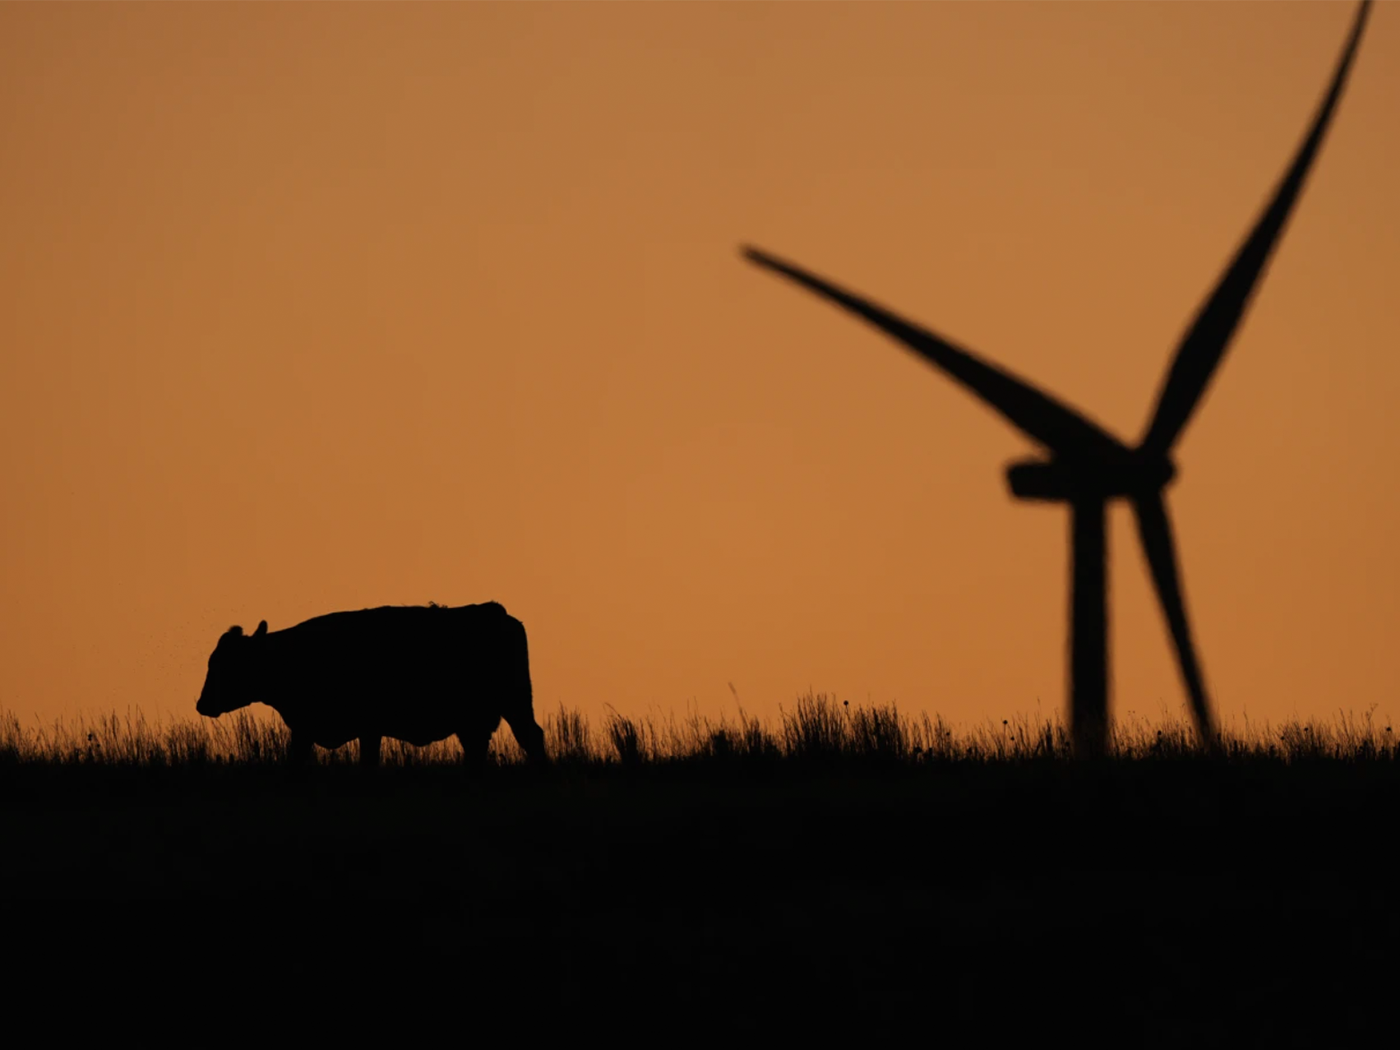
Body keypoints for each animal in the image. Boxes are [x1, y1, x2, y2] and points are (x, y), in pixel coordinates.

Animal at [195, 601, 547, 767]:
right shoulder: (305, 729)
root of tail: (496, 611)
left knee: (531, 737)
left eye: (228, 664)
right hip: (479, 718)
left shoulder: (368, 728)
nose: (202, 704)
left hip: (515, 703)